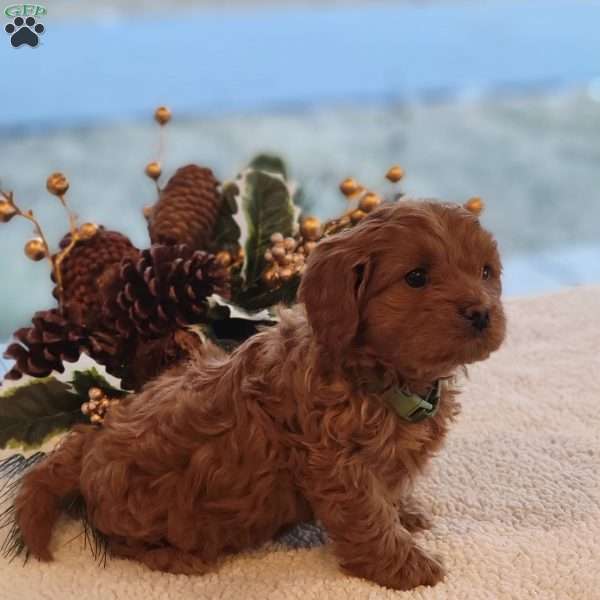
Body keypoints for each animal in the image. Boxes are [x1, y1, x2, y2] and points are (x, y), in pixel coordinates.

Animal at [12, 200, 506, 592]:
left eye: (485, 272)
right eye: (417, 277)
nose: (482, 312)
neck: (384, 378)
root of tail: (92, 437)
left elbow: (390, 491)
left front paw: (406, 513)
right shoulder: (338, 465)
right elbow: (368, 517)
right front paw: (405, 566)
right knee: (118, 540)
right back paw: (175, 557)